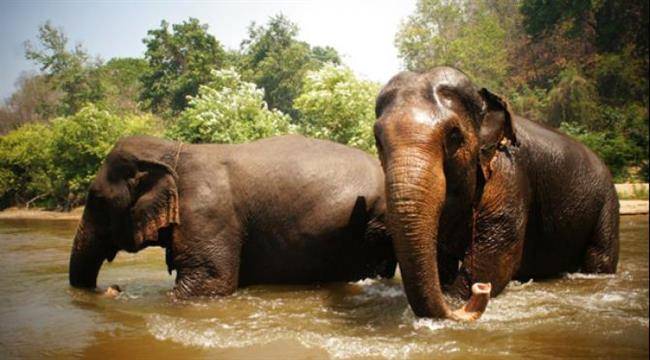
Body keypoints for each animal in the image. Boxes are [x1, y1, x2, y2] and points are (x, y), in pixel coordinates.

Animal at [68, 133, 488, 318]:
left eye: (95, 200)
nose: (112, 288)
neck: (173, 149)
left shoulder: (207, 215)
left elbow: (209, 284)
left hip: (372, 224)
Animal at [372, 67, 616, 320]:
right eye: (377, 139)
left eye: (454, 135)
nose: (482, 290)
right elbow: (442, 255)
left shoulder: (508, 173)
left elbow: (494, 253)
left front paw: (458, 296)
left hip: (607, 201)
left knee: (600, 256)